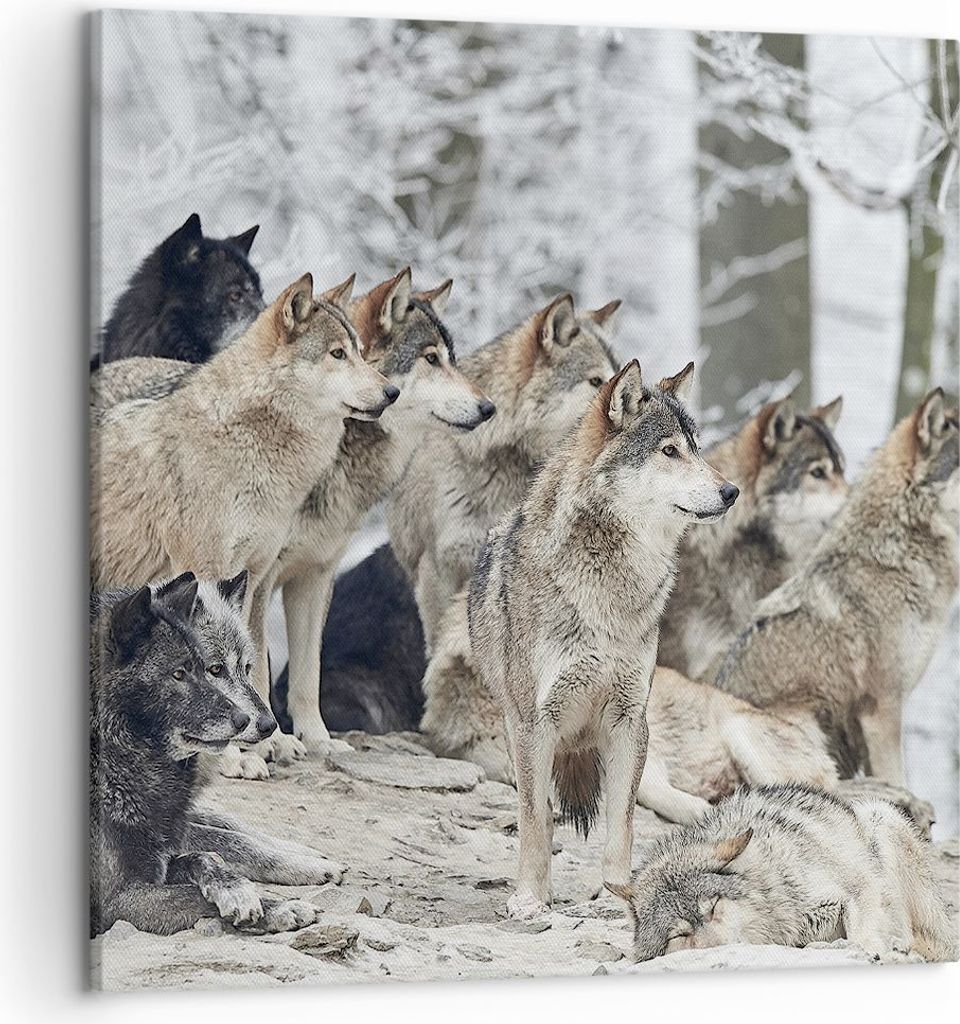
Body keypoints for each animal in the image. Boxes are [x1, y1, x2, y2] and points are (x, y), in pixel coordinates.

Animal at [90, 574, 319, 937]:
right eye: (214, 670)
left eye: (247, 668)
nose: (266, 724)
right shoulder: (119, 900)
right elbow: (201, 882)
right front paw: (280, 904)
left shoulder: (172, 830)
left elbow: (222, 840)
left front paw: (303, 856)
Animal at [246, 268, 494, 756]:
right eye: (431, 359)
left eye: (453, 359)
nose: (488, 407)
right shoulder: (259, 579)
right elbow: (259, 670)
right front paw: (275, 743)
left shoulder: (315, 575)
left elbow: (307, 675)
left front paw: (319, 741)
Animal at [468, 361, 738, 919]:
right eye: (669, 451)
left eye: (696, 448)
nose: (731, 492)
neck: (609, 585)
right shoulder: (534, 724)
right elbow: (535, 822)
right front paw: (530, 899)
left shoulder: (629, 721)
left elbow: (623, 824)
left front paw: (617, 892)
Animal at [607, 783, 957, 963]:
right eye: (679, 935)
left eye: (714, 908)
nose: (718, 950)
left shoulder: (859, 886)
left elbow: (864, 933)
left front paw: (874, 949)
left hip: (879, 816)